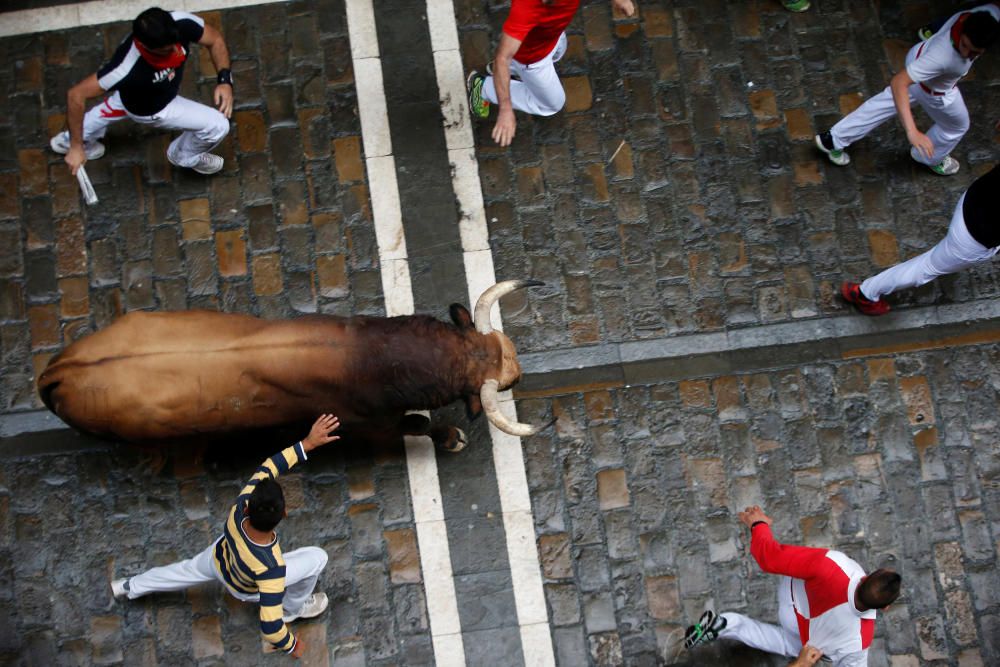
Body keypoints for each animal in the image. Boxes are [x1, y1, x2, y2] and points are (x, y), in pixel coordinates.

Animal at [39, 280, 544, 452]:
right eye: (507, 382)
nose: (521, 371)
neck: (374, 355)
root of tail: (56, 370)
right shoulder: (370, 425)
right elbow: (416, 426)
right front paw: (449, 436)